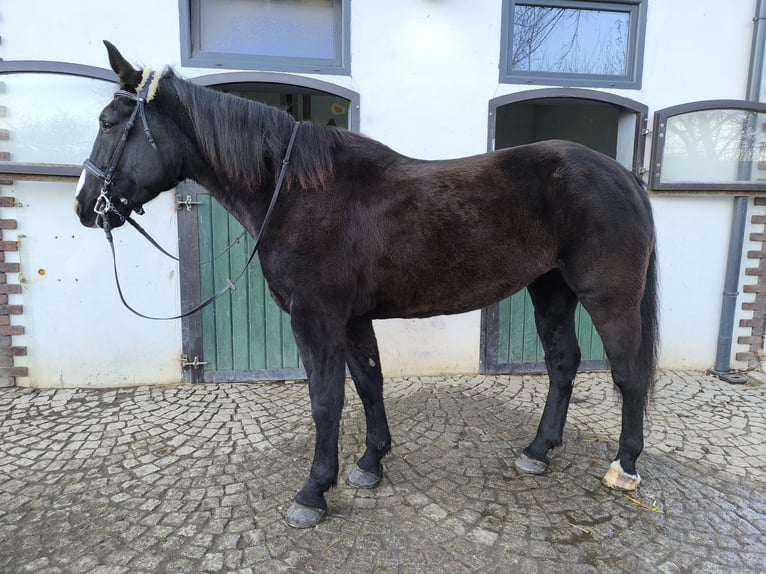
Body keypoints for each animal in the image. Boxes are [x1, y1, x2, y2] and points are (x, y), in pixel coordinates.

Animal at [75, 42, 660, 532]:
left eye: (108, 122)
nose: (85, 206)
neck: (297, 191)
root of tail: (621, 174)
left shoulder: (316, 318)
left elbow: (325, 399)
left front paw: (314, 491)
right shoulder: (353, 318)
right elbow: (368, 384)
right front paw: (371, 462)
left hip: (608, 297)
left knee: (629, 374)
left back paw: (625, 466)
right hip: (551, 291)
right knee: (563, 363)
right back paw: (538, 451)